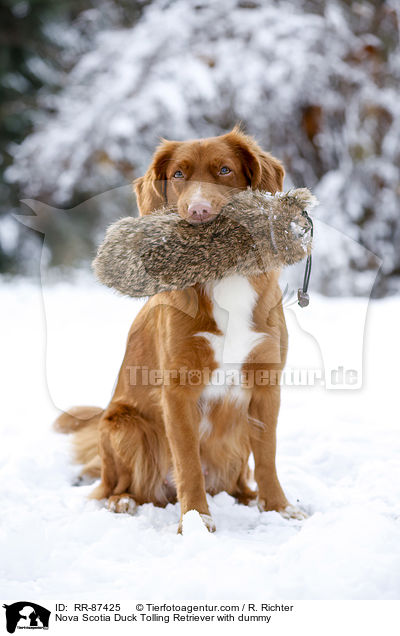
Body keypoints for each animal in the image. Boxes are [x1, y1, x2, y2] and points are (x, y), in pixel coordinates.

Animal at [53, 125, 304, 532]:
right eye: (178, 174)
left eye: (224, 170)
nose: (199, 211)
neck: (222, 276)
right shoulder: (178, 391)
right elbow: (187, 463)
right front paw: (196, 522)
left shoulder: (266, 384)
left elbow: (267, 457)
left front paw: (279, 509)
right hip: (125, 425)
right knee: (116, 487)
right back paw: (123, 502)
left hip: (235, 440)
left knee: (239, 481)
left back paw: (248, 498)